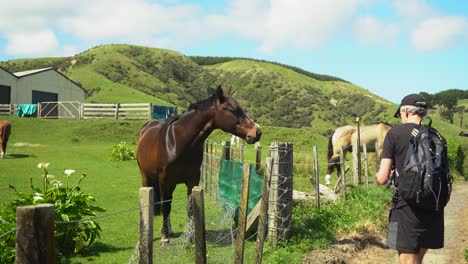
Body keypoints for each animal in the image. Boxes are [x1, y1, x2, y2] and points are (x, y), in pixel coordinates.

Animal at [136, 86, 264, 245]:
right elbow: (165, 207)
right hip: (147, 177)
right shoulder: (164, 180)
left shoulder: (193, 180)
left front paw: (192, 236)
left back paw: (169, 229)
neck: (177, 141)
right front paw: (164, 238)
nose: (257, 132)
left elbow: (191, 207)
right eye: (230, 109)